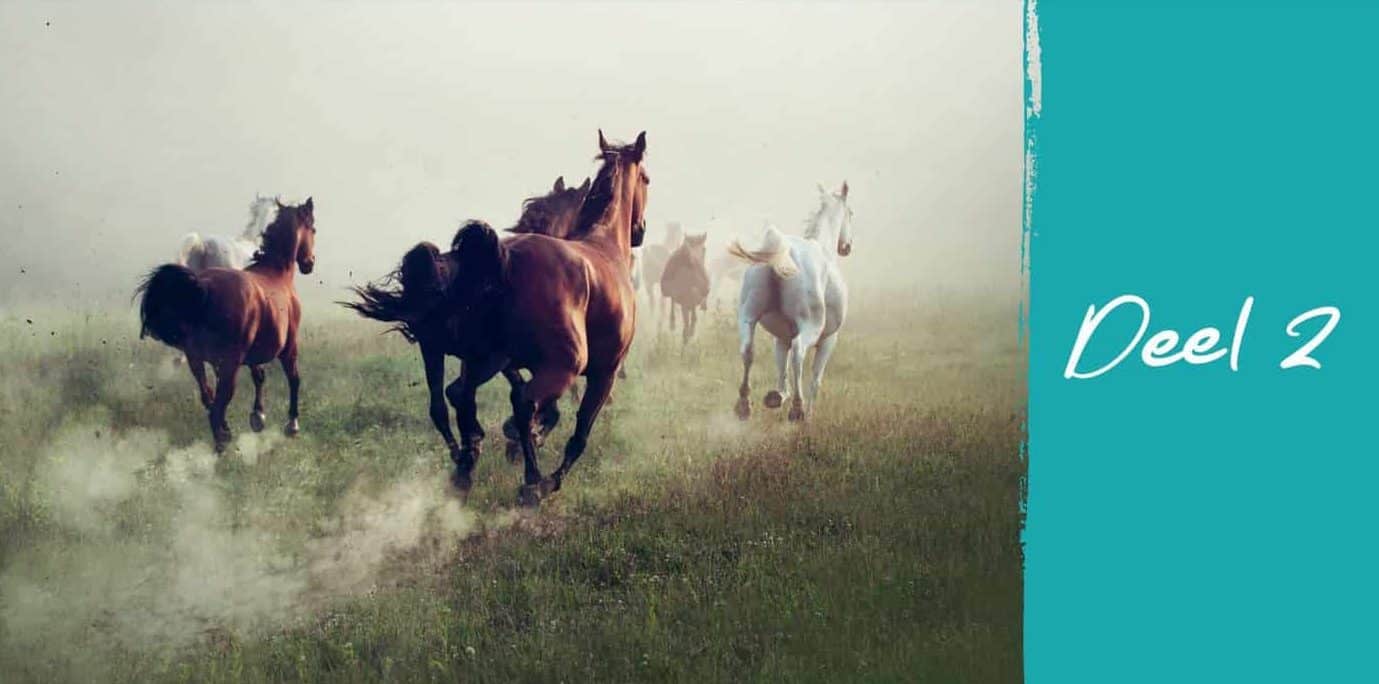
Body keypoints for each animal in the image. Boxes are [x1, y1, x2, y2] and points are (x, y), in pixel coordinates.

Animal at [137, 198, 317, 451]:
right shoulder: (289, 346)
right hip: (230, 364)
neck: (275, 273)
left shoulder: (250, 353)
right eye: (313, 229)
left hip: (198, 360)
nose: (309, 263)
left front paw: (258, 417)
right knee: (217, 407)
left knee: (208, 398)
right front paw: (292, 425)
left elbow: (259, 376)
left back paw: (223, 432)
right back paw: (222, 444)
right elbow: (294, 378)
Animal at [348, 131, 647, 506]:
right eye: (646, 178)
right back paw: (530, 481)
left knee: (451, 399)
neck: (603, 246)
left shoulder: (507, 361)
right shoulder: (600, 371)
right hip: (557, 364)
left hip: (466, 355)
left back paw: (466, 466)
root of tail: (500, 258)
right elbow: (577, 431)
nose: (640, 230)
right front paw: (541, 465)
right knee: (519, 402)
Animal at [727, 182, 853, 422]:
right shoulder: (829, 341)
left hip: (747, 316)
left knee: (748, 350)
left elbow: (781, 373)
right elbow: (815, 379)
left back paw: (744, 405)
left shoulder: (781, 339)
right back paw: (797, 408)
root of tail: (784, 251)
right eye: (851, 213)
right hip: (811, 326)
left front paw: (777, 397)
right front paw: (808, 416)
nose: (847, 247)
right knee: (798, 352)